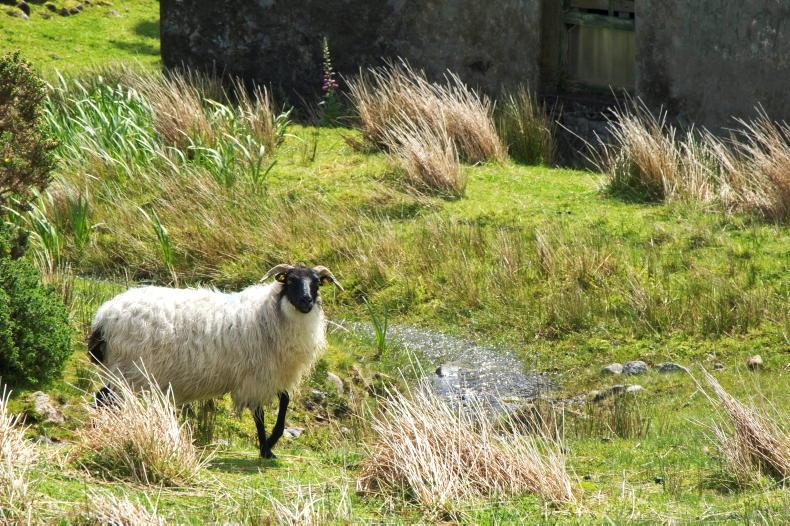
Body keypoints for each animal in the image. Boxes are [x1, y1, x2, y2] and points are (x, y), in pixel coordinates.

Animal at [87, 264, 343, 458]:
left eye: (316, 283)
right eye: (290, 280)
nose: (306, 301)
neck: (271, 312)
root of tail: (104, 317)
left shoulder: (274, 373)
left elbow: (285, 401)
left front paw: (270, 443)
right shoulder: (257, 376)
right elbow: (259, 415)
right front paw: (266, 449)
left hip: (125, 370)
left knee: (102, 398)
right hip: (129, 368)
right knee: (103, 399)